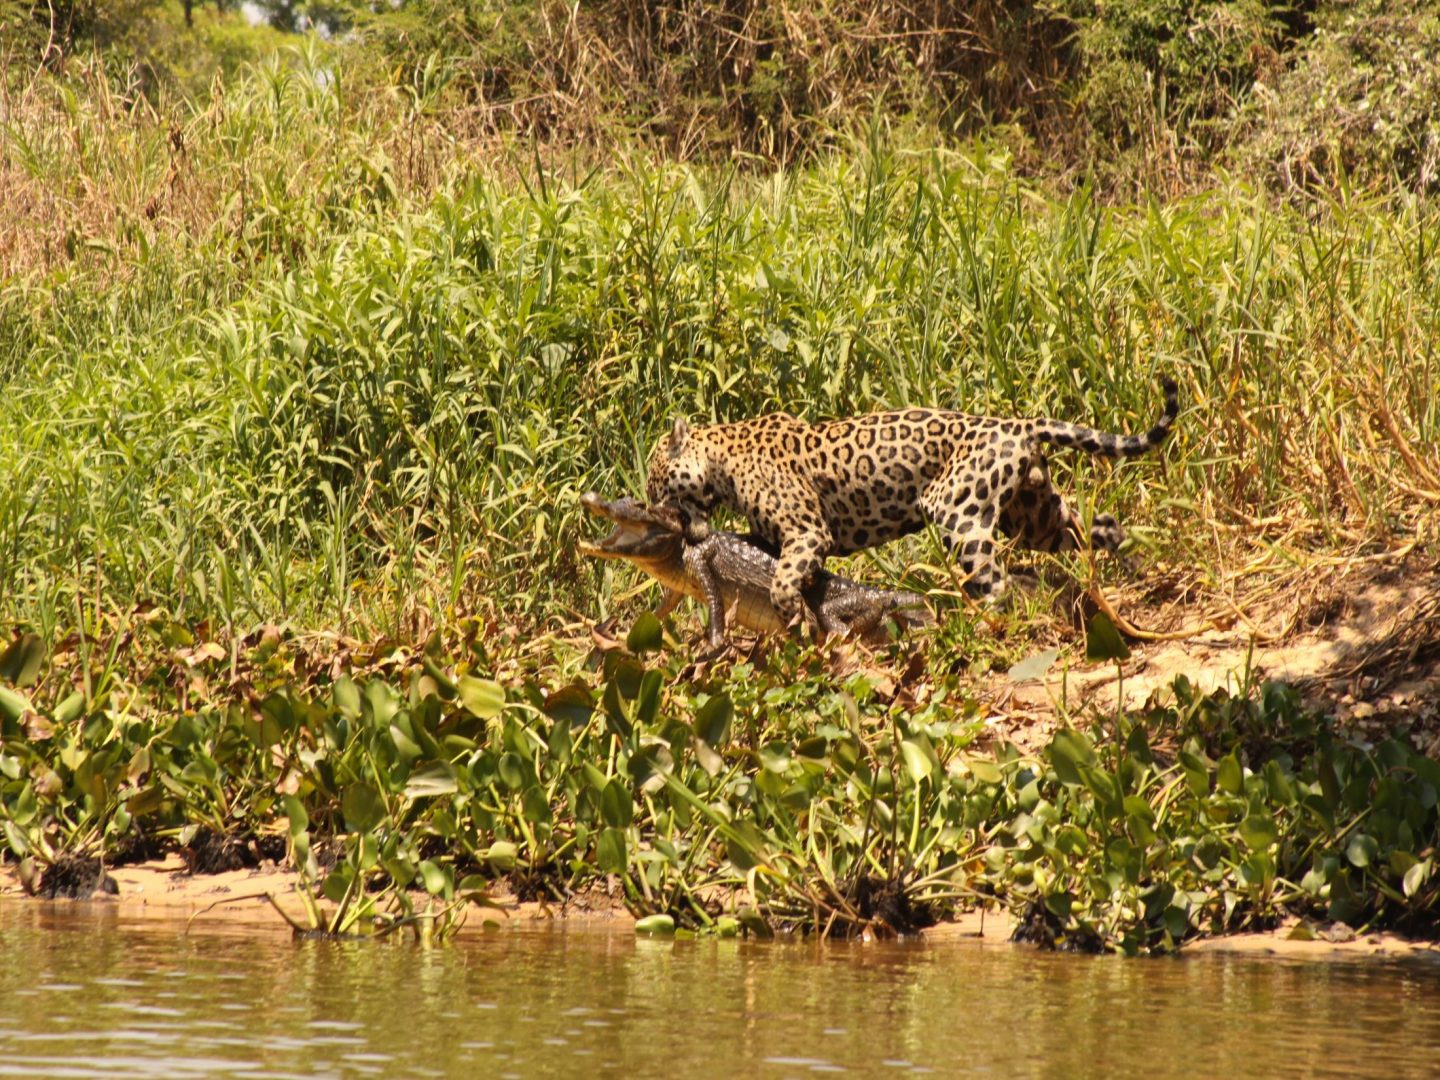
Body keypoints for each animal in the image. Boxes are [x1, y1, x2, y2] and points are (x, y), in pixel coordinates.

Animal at [645, 377, 1178, 629]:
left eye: (656, 486)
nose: (651, 508)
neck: (720, 458)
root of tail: (1018, 424)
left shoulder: (807, 531)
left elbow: (784, 579)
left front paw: (792, 608)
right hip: (1032, 515)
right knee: (1096, 525)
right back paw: (1140, 570)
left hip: (957, 509)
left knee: (997, 581)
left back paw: (972, 620)